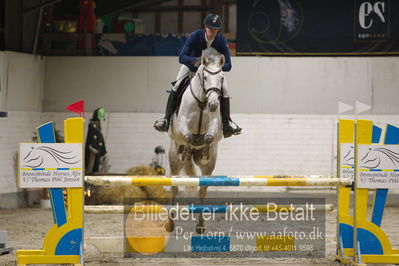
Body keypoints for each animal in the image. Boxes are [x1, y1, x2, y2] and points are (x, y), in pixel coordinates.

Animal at [166, 47, 225, 233]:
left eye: (221, 78)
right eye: (205, 77)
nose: (213, 105)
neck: (203, 101)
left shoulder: (214, 125)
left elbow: (209, 137)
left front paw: (203, 148)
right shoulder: (182, 123)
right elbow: (187, 136)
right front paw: (187, 149)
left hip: (209, 167)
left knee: (203, 189)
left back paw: (200, 225)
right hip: (173, 160)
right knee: (174, 186)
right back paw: (170, 223)